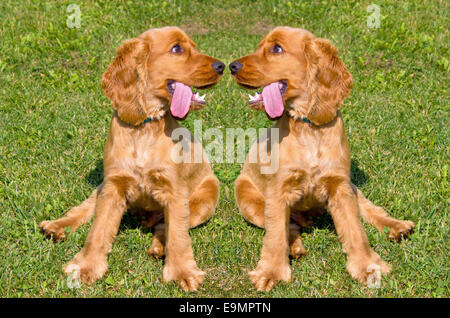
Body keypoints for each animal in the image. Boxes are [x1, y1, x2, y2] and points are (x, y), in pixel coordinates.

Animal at [40, 26, 225, 290]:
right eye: (177, 49)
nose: (221, 66)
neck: (145, 127)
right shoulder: (113, 186)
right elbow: (98, 230)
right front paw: (86, 267)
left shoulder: (175, 191)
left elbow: (178, 236)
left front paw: (181, 272)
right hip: (102, 186)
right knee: (85, 208)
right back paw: (56, 226)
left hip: (203, 202)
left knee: (166, 226)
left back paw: (159, 247)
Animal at [230, 26, 414, 290]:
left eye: (276, 48)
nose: (232, 66)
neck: (309, 127)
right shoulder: (278, 191)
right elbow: (275, 236)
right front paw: (272, 272)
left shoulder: (340, 186)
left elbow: (356, 230)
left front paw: (368, 266)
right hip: (249, 202)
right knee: (287, 227)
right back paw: (295, 247)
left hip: (352, 187)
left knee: (369, 209)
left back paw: (397, 226)